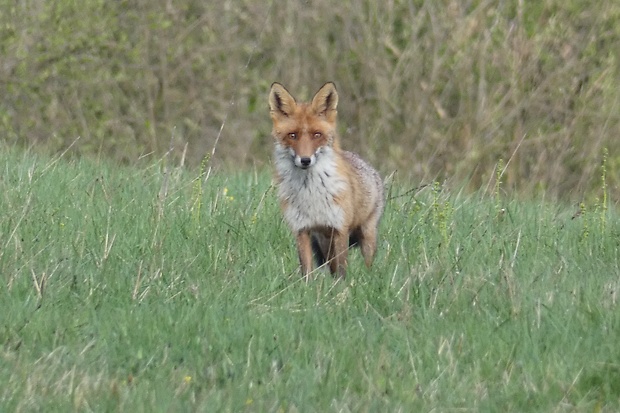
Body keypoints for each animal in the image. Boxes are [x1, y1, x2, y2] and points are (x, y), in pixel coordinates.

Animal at [268, 81, 386, 278]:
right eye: (292, 135)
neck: (310, 193)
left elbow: (342, 270)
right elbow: (307, 271)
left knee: (367, 262)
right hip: (324, 242)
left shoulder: (340, 229)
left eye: (317, 135)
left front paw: (342, 286)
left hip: (367, 235)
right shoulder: (302, 229)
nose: (305, 160)